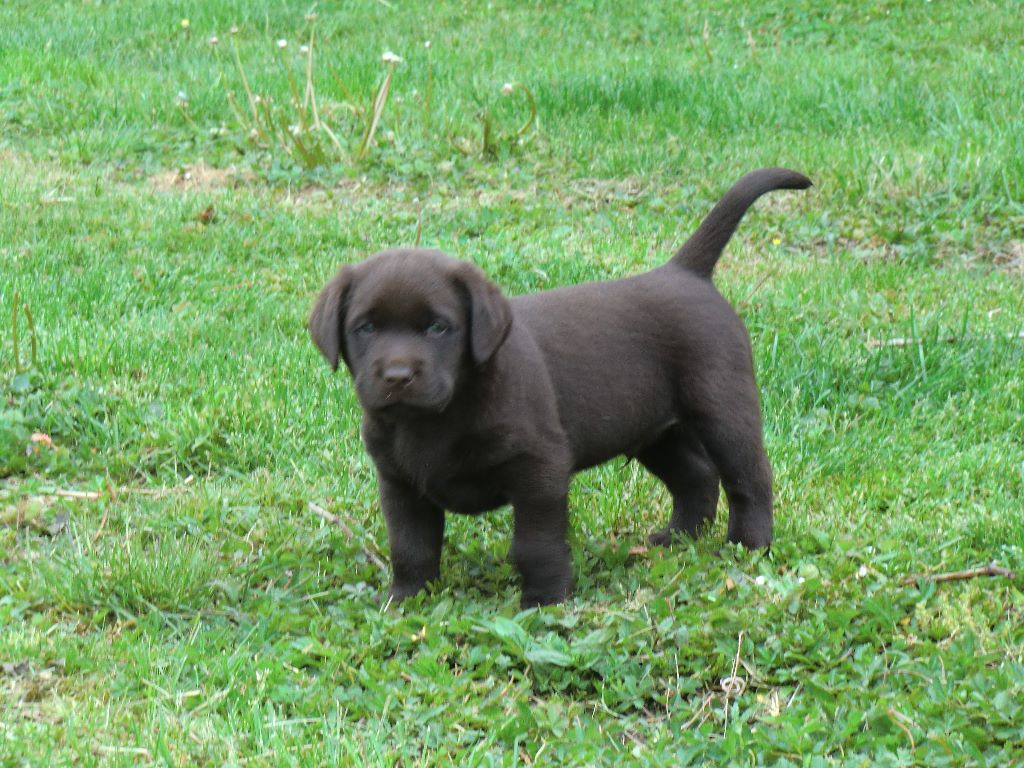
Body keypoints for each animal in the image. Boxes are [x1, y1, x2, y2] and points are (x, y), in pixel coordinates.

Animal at [307, 166, 811, 606]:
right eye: (365, 328)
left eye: (437, 327)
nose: (397, 376)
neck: (437, 417)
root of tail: (684, 271)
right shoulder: (399, 482)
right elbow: (411, 546)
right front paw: (405, 599)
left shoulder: (540, 469)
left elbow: (535, 543)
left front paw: (546, 599)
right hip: (652, 427)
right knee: (696, 476)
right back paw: (676, 538)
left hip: (722, 406)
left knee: (749, 477)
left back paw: (748, 546)